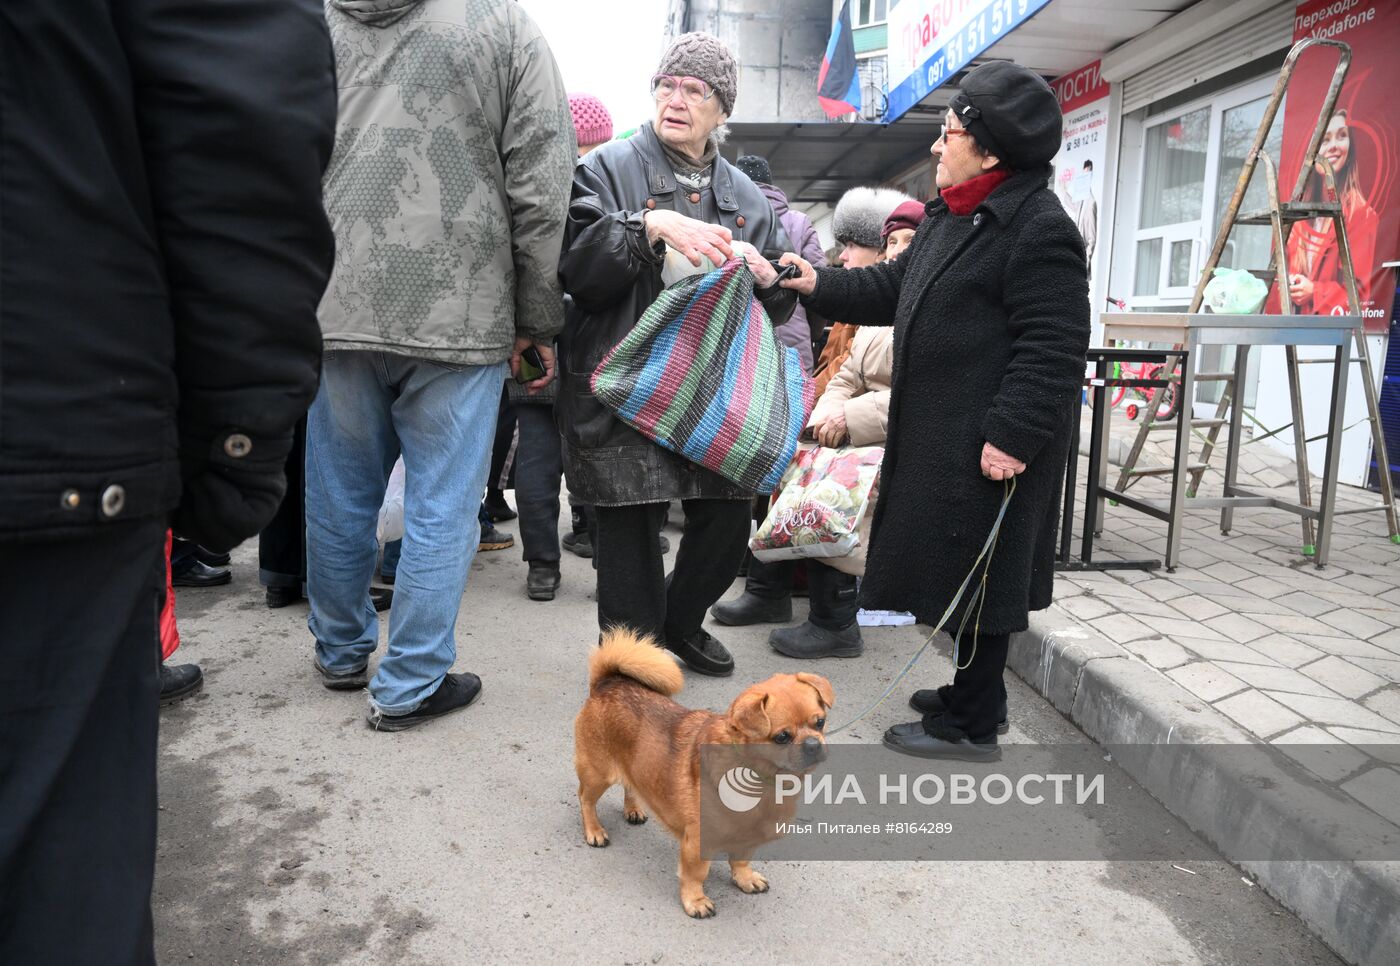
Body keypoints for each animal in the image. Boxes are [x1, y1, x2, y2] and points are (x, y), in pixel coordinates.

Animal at [571, 624, 828, 918]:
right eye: (782, 737)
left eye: (820, 722)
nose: (813, 744)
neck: (764, 782)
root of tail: (608, 683)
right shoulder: (697, 843)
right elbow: (696, 874)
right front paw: (695, 900)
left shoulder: (747, 840)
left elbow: (741, 860)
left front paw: (745, 878)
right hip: (597, 774)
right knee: (586, 799)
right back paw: (594, 830)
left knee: (631, 784)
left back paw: (633, 808)